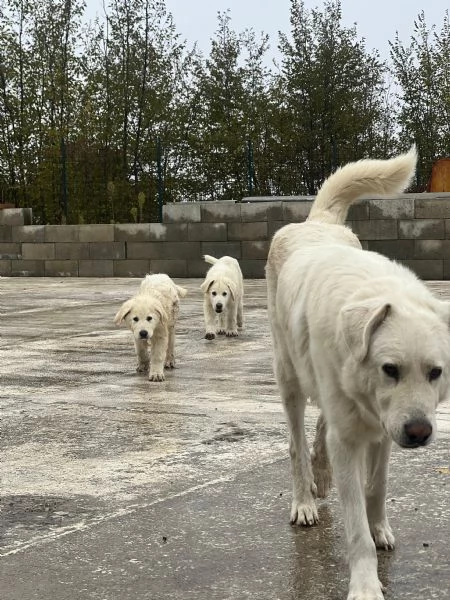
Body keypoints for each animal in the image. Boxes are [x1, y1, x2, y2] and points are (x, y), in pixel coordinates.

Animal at [266, 146, 448, 600]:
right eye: (390, 369)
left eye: (436, 372)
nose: (420, 433)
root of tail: (316, 223)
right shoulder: (351, 438)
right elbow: (355, 529)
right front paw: (366, 585)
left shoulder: (382, 429)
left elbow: (376, 488)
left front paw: (380, 528)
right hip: (289, 378)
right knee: (296, 444)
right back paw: (304, 500)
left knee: (320, 427)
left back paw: (321, 473)